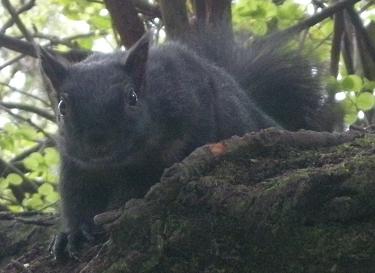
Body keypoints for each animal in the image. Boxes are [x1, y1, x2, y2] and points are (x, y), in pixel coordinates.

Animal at [39, 30, 334, 258]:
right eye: (62, 105)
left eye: (132, 97)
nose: (98, 144)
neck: (121, 164)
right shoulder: (77, 165)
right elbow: (76, 199)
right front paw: (73, 234)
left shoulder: (187, 128)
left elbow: (142, 184)